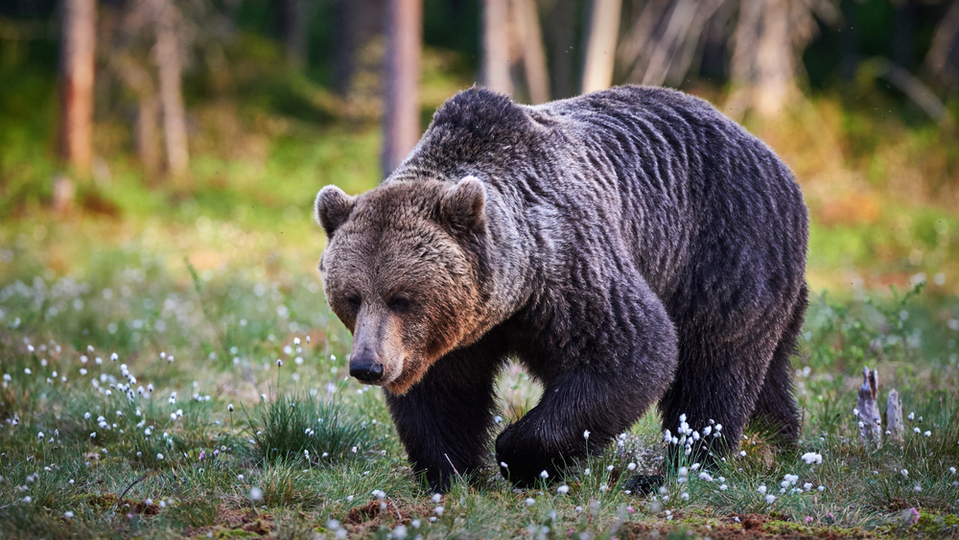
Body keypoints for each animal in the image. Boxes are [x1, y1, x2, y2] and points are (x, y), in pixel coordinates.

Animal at [316, 83, 808, 490]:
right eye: (352, 298)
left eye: (401, 297)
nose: (367, 366)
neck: (513, 292)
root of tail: (775, 159)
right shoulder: (450, 333)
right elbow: (444, 394)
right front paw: (451, 472)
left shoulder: (568, 267)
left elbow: (630, 351)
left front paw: (518, 456)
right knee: (766, 371)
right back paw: (773, 444)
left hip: (724, 250)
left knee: (713, 368)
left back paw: (677, 469)